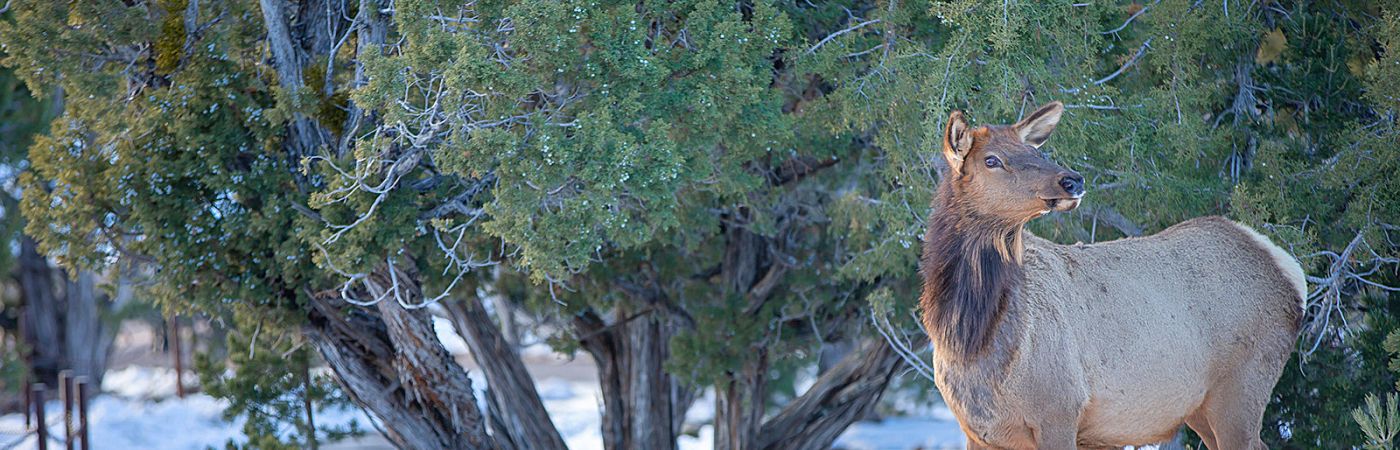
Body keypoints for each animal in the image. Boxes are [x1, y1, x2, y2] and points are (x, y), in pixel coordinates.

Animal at [918, 101, 1305, 450]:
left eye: (1033, 150)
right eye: (992, 160)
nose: (1072, 179)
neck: (970, 341)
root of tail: (1289, 269)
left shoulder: (1060, 410)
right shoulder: (978, 430)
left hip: (1243, 387)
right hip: (1202, 408)